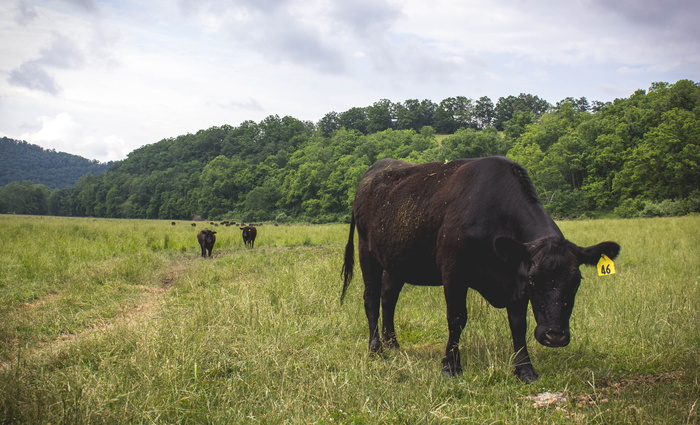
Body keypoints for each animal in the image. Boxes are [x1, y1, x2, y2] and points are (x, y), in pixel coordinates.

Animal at [342, 157, 620, 382]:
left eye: (576, 281)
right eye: (534, 280)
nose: (555, 336)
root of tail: (375, 169)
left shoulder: (515, 281)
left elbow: (518, 323)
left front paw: (525, 370)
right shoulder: (454, 272)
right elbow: (457, 318)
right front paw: (451, 366)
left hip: (396, 261)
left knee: (389, 298)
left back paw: (393, 344)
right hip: (367, 252)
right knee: (371, 298)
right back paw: (375, 348)